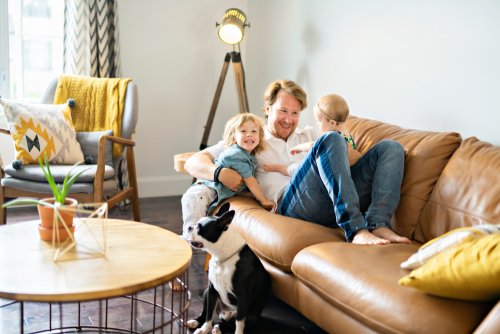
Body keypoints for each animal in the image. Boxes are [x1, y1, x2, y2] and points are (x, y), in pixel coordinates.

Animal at [185, 202, 270, 332]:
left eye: (199, 229)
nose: (189, 227)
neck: (221, 257)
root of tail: (227, 313)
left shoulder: (243, 297)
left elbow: (239, 323)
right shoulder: (211, 290)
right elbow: (209, 313)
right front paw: (204, 329)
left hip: (252, 318)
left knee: (234, 321)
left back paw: (219, 327)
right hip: (206, 293)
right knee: (205, 312)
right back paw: (196, 322)